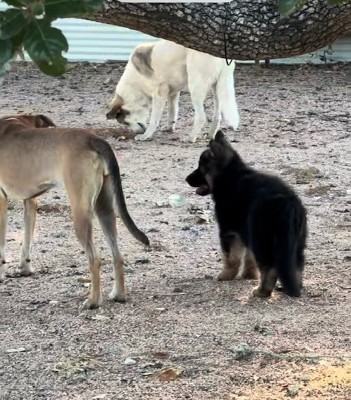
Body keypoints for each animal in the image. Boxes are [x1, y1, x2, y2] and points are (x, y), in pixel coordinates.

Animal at [0, 115, 149, 310]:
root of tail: (94, 139)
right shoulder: (30, 202)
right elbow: (27, 240)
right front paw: (24, 268)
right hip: (104, 209)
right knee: (117, 255)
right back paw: (118, 294)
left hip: (80, 213)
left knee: (95, 259)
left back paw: (93, 301)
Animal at [106, 39, 241, 142]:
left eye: (125, 123)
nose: (137, 132)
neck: (134, 86)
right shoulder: (173, 92)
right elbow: (172, 111)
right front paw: (169, 127)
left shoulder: (159, 94)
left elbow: (154, 119)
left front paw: (146, 135)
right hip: (217, 88)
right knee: (217, 115)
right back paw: (210, 135)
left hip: (195, 87)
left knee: (201, 117)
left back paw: (191, 138)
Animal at [187, 131, 308, 296]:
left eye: (200, 167)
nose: (186, 179)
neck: (230, 176)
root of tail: (288, 203)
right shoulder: (246, 232)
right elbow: (249, 258)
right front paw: (249, 275)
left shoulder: (229, 232)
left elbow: (230, 257)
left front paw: (226, 275)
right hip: (296, 241)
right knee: (297, 264)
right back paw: (291, 287)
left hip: (262, 241)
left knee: (270, 267)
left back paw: (262, 291)